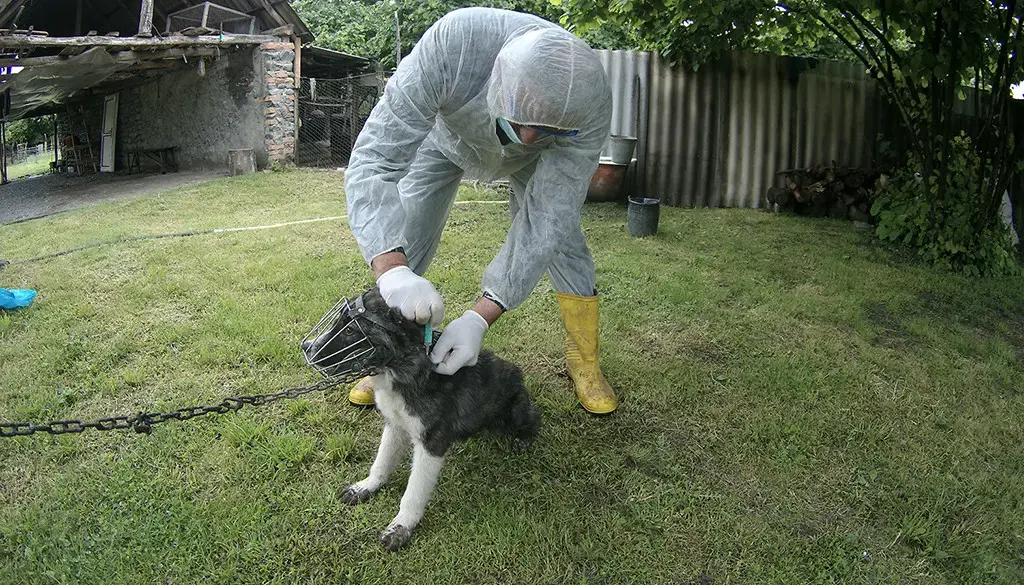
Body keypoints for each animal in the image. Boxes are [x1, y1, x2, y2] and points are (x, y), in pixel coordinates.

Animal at [299, 286, 540, 553]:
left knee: (534, 417)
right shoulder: (394, 425)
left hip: (513, 416)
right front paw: (365, 487)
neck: (401, 371)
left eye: (351, 330)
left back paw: (523, 438)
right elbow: (381, 463)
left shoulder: (431, 444)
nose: (305, 346)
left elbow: (414, 491)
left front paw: (401, 526)